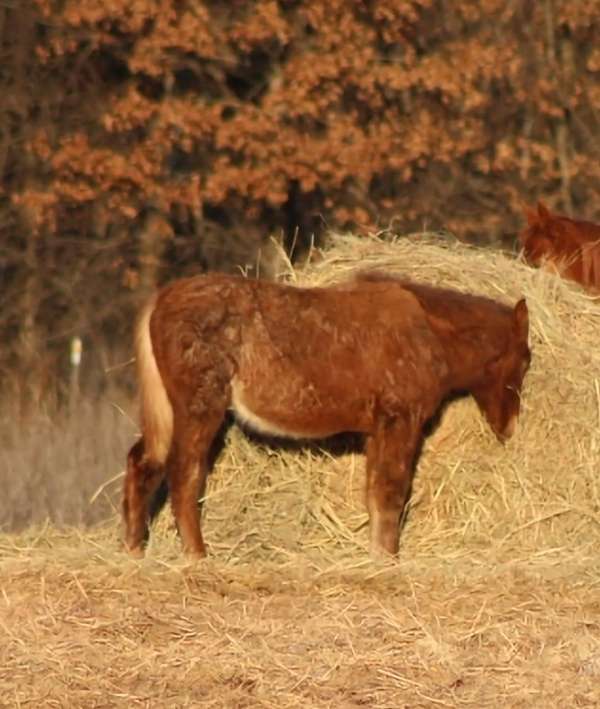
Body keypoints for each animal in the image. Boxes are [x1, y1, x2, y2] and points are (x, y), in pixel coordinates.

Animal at [122, 272, 528, 560]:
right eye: (525, 359)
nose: (509, 427)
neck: (429, 331)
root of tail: (161, 299)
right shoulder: (401, 421)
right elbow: (392, 493)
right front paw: (388, 560)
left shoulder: (377, 431)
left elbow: (376, 495)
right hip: (200, 409)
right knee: (184, 475)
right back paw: (197, 557)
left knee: (143, 463)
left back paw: (135, 550)